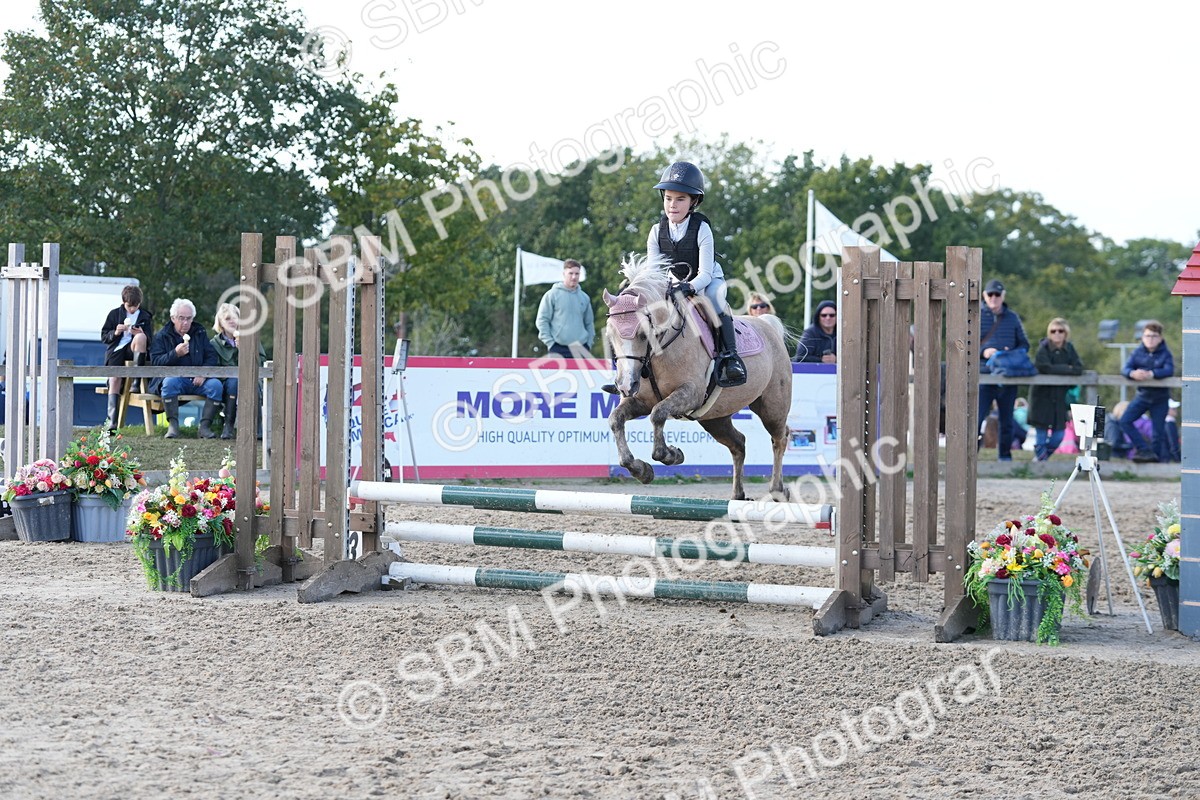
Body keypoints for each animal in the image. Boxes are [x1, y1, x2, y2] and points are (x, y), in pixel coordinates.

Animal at [602, 254, 793, 501]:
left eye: (643, 334)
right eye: (610, 335)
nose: (626, 385)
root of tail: (768, 325)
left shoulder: (690, 393)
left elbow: (658, 414)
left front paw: (671, 455)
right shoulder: (641, 401)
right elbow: (616, 420)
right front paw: (642, 470)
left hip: (772, 407)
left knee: (780, 438)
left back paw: (778, 490)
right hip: (715, 418)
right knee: (739, 443)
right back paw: (738, 494)